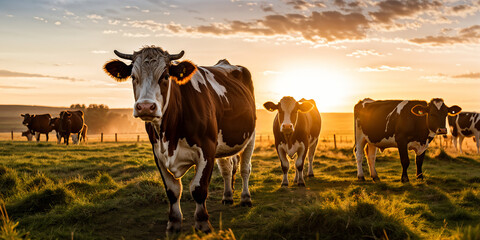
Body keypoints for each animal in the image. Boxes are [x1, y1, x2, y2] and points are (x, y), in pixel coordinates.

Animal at [103, 46, 256, 233]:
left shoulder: (207, 149)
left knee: (245, 169)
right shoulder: (158, 154)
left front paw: (202, 223)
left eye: (165, 76)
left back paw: (245, 198)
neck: (170, 136)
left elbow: (198, 188)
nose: (145, 107)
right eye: (133, 76)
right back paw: (227, 196)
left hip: (250, 137)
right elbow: (173, 190)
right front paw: (174, 222)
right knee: (227, 169)